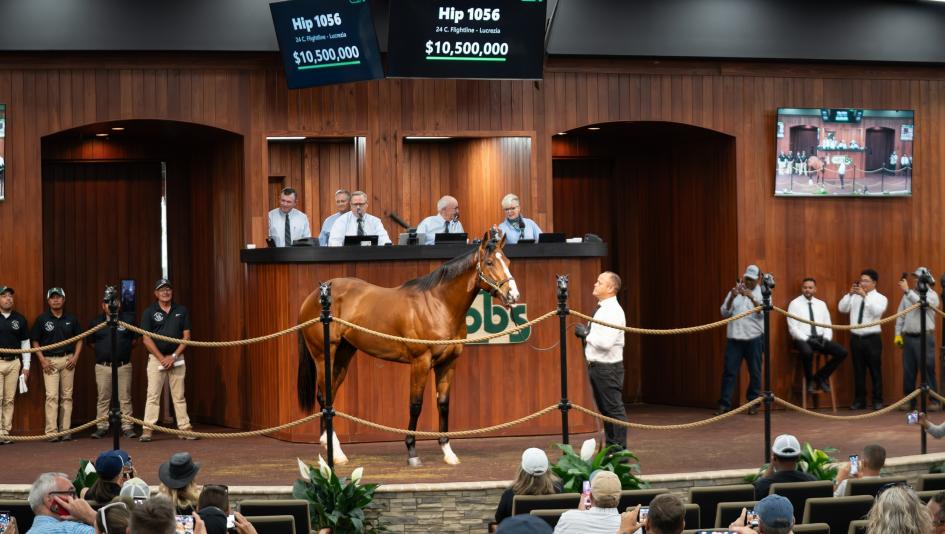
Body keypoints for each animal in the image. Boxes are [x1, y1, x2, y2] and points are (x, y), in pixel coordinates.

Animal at [297, 231, 519, 466]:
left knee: (328, 396)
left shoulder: (448, 363)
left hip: (342, 355)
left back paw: (333, 449)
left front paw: (448, 451)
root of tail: (315, 296)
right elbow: (416, 404)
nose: (513, 295)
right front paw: (412, 450)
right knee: (323, 397)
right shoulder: (420, 362)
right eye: (489, 262)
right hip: (324, 357)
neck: (438, 305)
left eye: (508, 262)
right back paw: (335, 451)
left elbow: (443, 404)